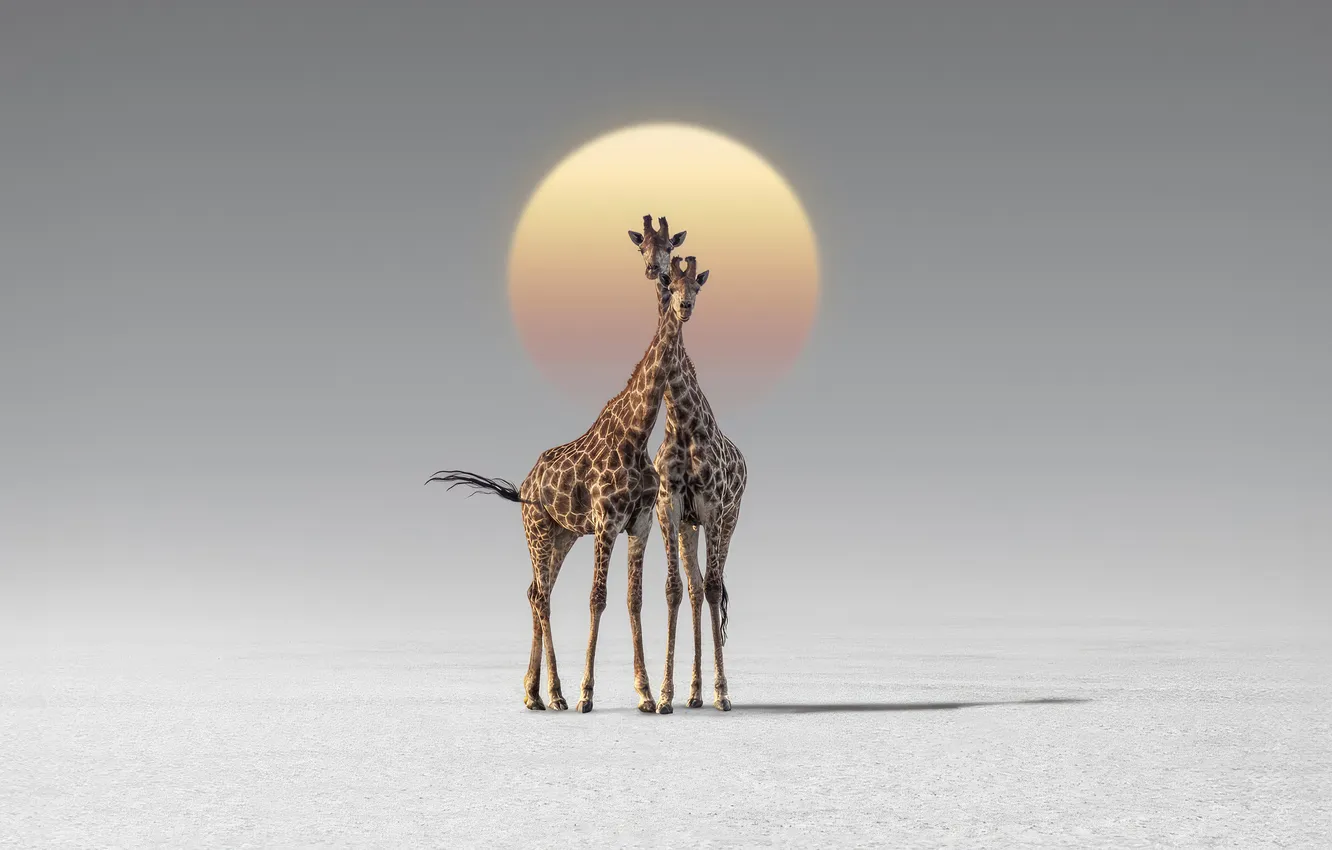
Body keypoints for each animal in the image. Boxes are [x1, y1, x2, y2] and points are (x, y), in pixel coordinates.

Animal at [426, 259, 708, 714]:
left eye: (695, 287)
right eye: (671, 282)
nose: (684, 307)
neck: (637, 434)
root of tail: (523, 487)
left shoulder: (640, 523)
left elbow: (633, 598)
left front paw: (646, 694)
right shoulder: (607, 522)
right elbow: (597, 597)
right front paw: (586, 694)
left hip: (563, 536)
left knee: (533, 592)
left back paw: (532, 693)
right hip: (538, 531)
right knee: (542, 596)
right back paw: (555, 694)